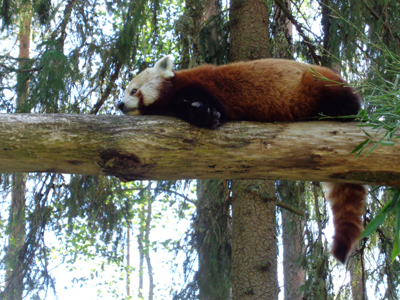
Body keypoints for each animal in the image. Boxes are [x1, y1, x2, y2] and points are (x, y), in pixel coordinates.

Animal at [115, 56, 366, 262]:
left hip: (320, 84)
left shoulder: (201, 86)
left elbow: (208, 104)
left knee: (344, 101)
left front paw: (204, 113)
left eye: (133, 90)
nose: (119, 104)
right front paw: (203, 115)